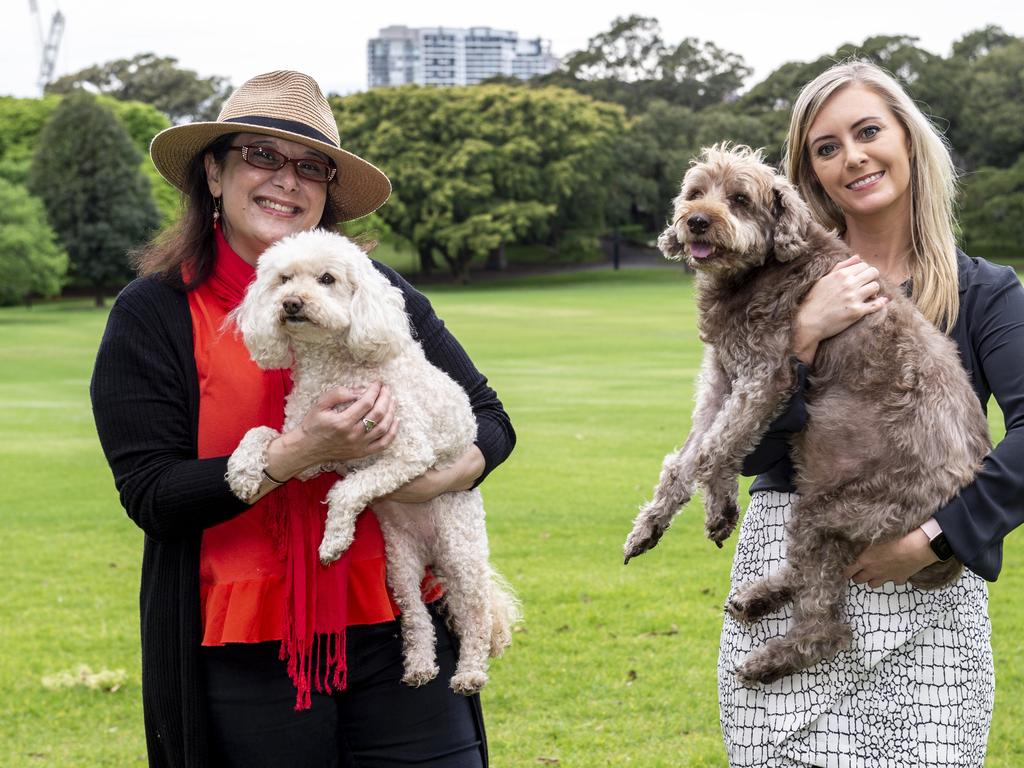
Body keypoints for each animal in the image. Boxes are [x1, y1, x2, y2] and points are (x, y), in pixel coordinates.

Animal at [230, 230, 520, 696]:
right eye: (284, 279)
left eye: (327, 279)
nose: (291, 303)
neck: (335, 367)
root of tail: (431, 553)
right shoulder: (308, 449)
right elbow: (259, 433)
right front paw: (242, 472)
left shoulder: (408, 453)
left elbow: (347, 489)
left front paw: (333, 541)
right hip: (400, 567)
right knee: (418, 618)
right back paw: (419, 666)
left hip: (461, 550)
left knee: (475, 615)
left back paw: (470, 673)